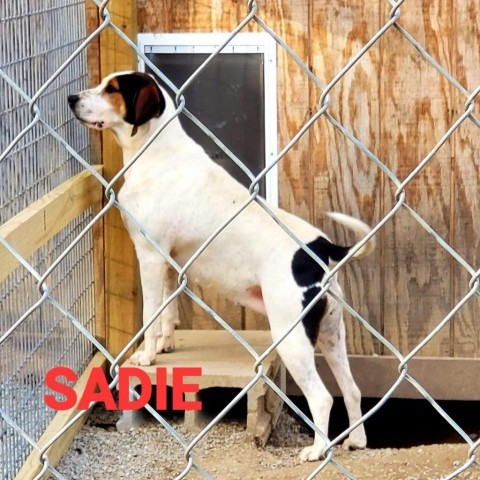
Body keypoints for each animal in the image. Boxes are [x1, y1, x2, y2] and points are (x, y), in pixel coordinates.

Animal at [69, 72, 374, 462]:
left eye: (112, 89)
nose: (71, 98)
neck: (157, 152)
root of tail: (317, 247)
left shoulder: (150, 256)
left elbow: (151, 315)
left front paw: (147, 355)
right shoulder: (169, 261)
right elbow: (168, 312)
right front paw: (167, 345)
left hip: (291, 338)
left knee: (321, 397)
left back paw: (317, 450)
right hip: (332, 335)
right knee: (351, 390)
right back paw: (357, 440)